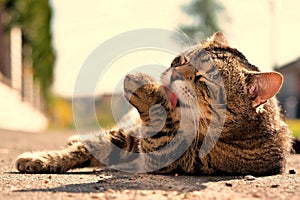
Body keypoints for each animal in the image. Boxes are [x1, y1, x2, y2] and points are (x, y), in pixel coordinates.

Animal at [15, 32, 292, 175]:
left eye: (203, 79)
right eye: (182, 60)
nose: (175, 72)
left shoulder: (174, 157)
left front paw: (144, 88)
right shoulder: (127, 136)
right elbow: (86, 148)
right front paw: (41, 159)